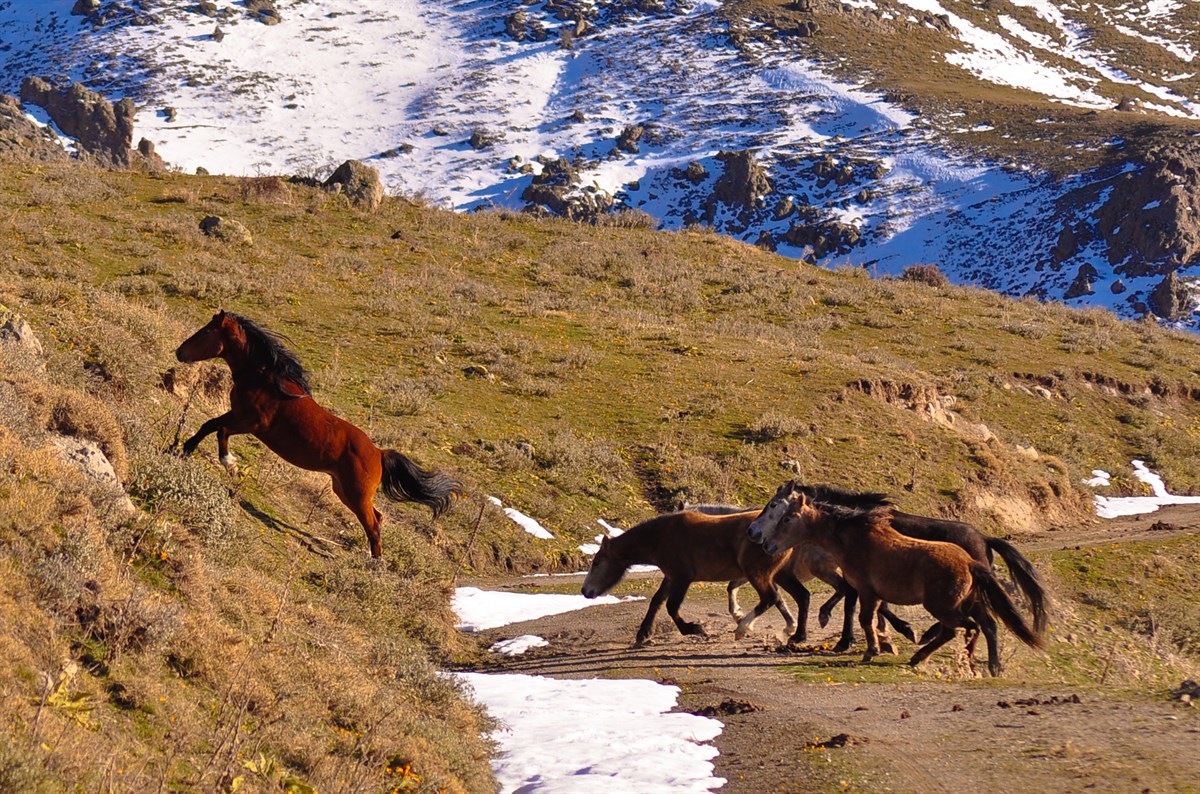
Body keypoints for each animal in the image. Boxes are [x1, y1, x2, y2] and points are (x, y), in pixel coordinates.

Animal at [175, 311, 460, 558]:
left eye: (207, 331)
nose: (179, 352)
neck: (266, 380)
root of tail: (379, 453)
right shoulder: (237, 415)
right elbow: (209, 426)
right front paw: (182, 450)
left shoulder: (251, 423)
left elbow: (219, 430)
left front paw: (228, 463)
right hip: (343, 490)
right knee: (377, 517)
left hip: (356, 495)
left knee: (373, 525)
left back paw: (375, 565)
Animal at [748, 484, 1051, 676]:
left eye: (778, 510)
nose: (759, 538)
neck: (852, 533)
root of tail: (980, 547)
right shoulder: (871, 589)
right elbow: (871, 612)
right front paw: (885, 640)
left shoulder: (865, 588)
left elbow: (860, 612)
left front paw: (866, 644)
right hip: (966, 601)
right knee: (983, 625)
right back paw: (979, 664)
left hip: (945, 604)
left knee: (967, 626)